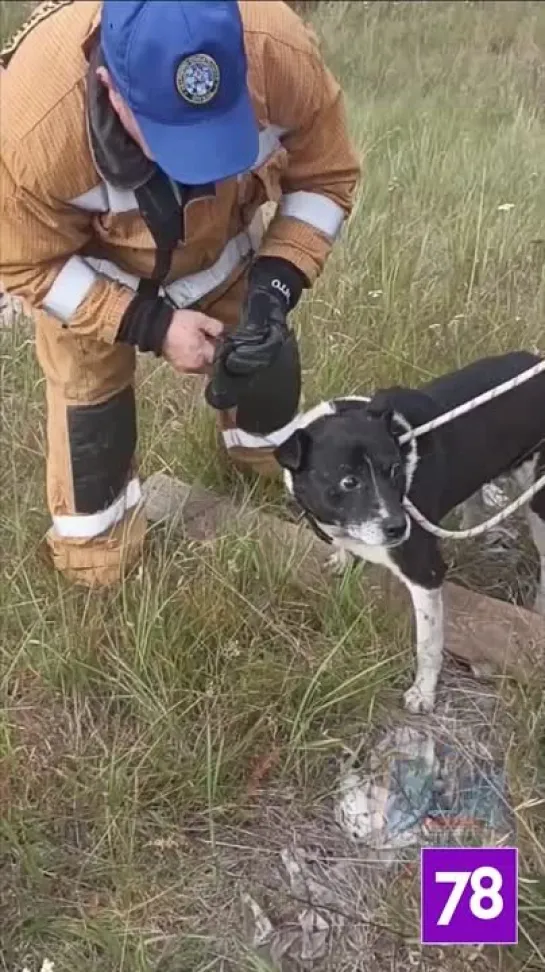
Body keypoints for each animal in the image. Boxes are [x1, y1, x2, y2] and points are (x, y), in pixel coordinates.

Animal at [274, 352, 544, 712]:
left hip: (539, 500)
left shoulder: (425, 572)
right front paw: (342, 558)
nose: (399, 527)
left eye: (394, 470)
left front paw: (423, 692)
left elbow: (428, 644)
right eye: (349, 481)